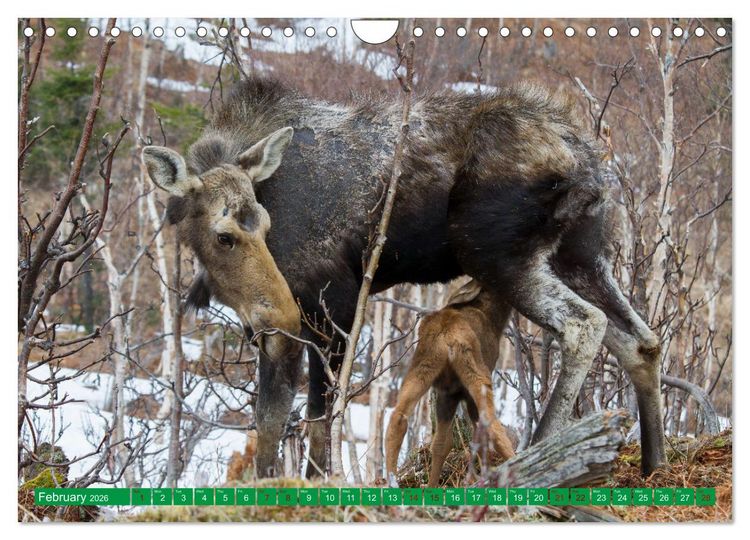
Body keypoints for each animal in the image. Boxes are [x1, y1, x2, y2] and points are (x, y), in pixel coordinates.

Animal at [385, 279, 517, 487]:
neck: (495, 318)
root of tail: (447, 338)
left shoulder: (448, 393)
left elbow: (441, 444)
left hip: (420, 368)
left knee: (398, 417)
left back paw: (392, 481)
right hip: (476, 373)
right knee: (493, 426)